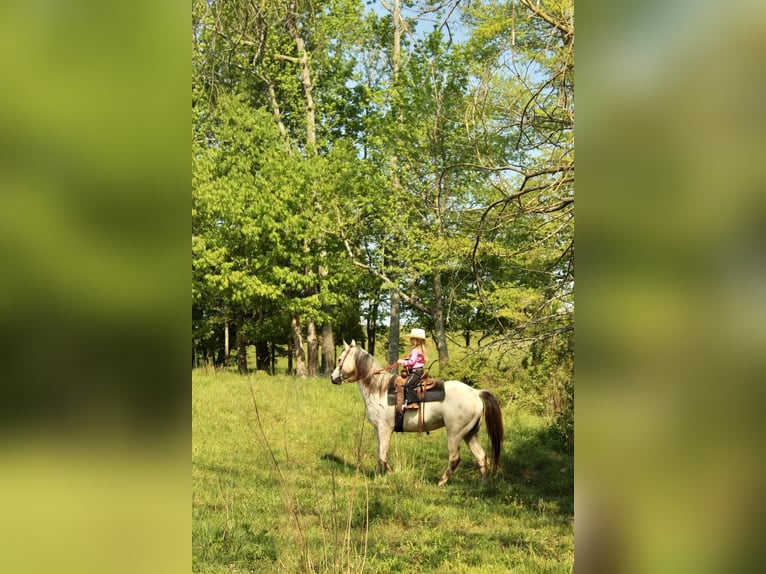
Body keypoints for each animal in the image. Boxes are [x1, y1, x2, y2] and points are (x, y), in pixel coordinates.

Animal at [328, 342, 504, 486]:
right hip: (470, 434)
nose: (332, 377)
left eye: (340, 359)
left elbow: (382, 456)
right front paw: (378, 477)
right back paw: (483, 485)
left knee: (455, 458)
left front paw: (390, 475)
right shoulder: (379, 430)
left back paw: (441, 482)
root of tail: (476, 392)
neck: (378, 389)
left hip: (455, 434)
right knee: (481, 456)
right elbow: (379, 454)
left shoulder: (385, 429)